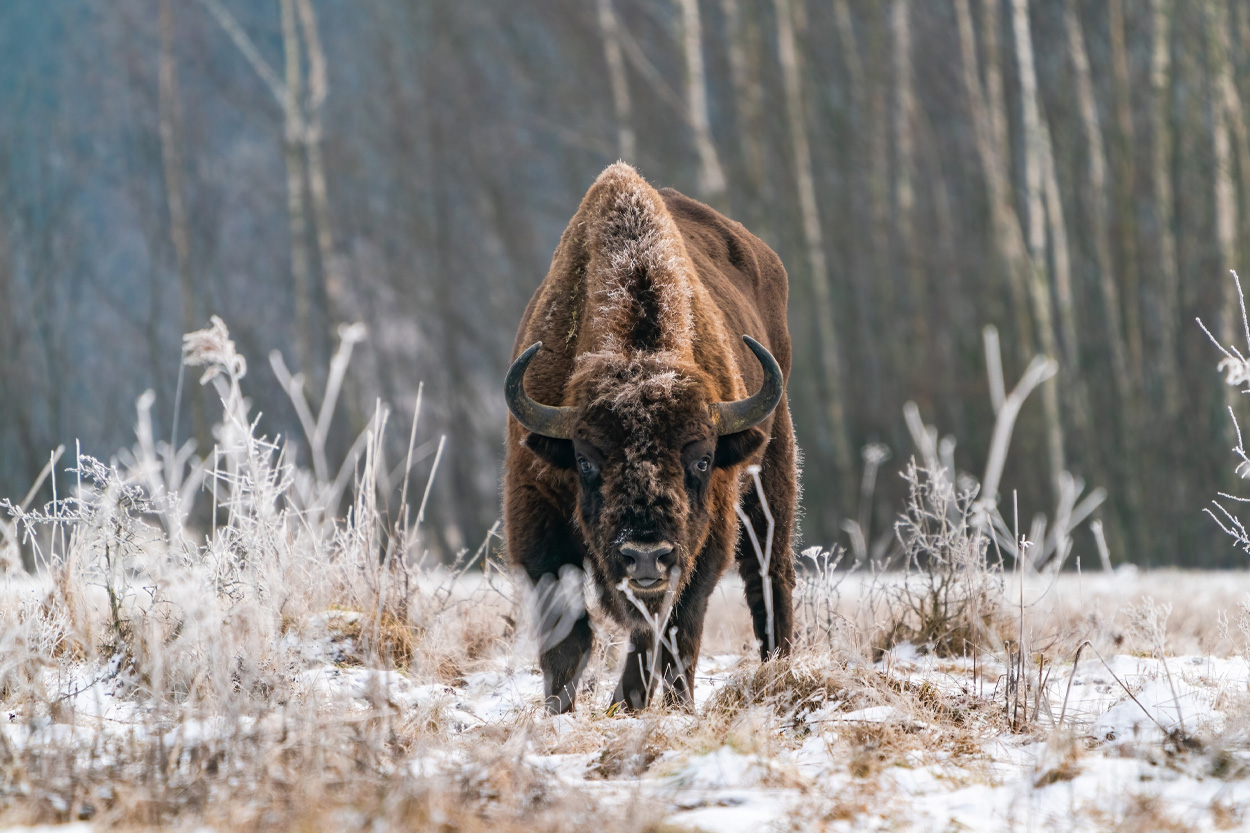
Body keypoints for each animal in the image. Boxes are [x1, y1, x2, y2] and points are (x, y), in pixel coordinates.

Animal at [503, 163, 799, 713]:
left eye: (702, 460)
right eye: (586, 460)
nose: (643, 554)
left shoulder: (706, 536)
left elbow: (676, 625)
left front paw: (650, 704)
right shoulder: (536, 517)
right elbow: (570, 634)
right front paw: (562, 709)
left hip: (772, 475)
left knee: (769, 578)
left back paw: (779, 669)